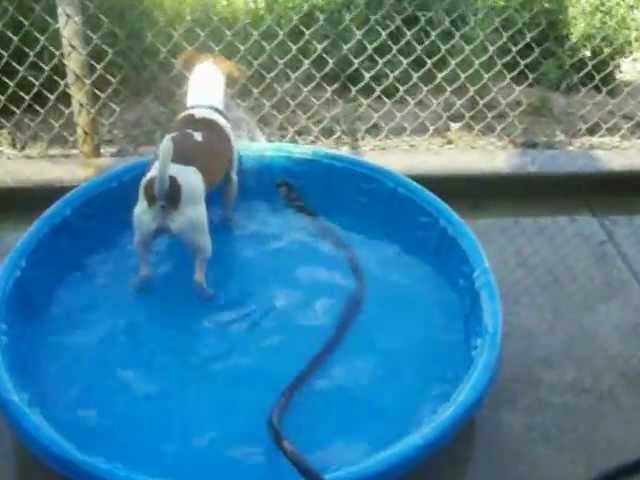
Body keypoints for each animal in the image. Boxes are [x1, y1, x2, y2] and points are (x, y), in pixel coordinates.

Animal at [132, 49, 242, 296]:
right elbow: (228, 205)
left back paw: (142, 282)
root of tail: (164, 188)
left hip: (142, 234)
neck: (203, 106)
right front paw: (229, 221)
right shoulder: (232, 178)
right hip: (200, 238)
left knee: (143, 266)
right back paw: (206, 293)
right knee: (198, 275)